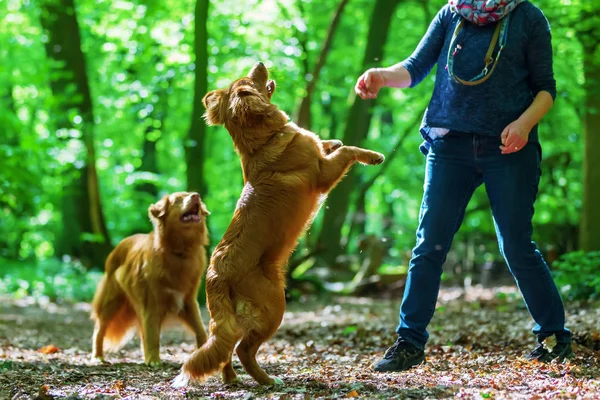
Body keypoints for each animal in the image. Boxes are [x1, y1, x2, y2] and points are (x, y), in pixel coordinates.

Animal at [90, 191, 210, 366]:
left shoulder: (188, 302)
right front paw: (153, 360)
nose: (197, 195)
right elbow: (152, 335)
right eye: (178, 200)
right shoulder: (151, 304)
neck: (179, 251)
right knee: (99, 330)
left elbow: (201, 330)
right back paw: (98, 356)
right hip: (111, 303)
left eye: (195, 198)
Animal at [171, 62, 384, 388]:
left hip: (230, 319)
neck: (265, 140)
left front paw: (330, 140)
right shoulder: (322, 174)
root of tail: (216, 274)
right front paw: (372, 155)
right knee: (243, 349)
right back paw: (268, 380)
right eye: (249, 79)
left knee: (225, 348)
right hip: (274, 308)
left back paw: (232, 379)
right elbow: (347, 150)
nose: (260, 63)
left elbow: (331, 144)